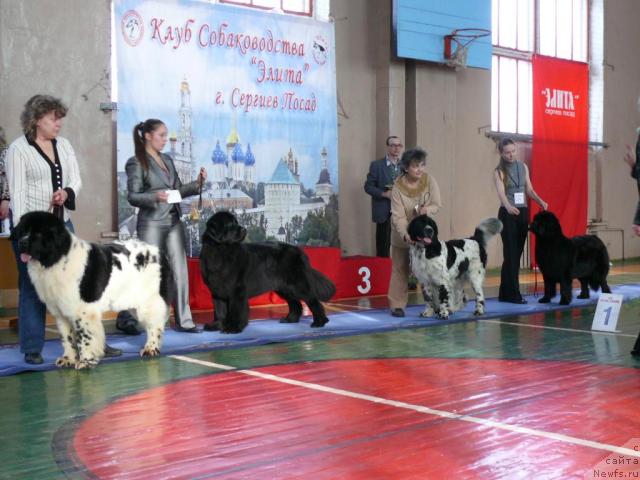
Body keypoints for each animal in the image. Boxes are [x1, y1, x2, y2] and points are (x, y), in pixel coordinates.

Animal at [11, 210, 171, 368]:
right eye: (23, 231)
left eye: (38, 234)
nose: (21, 243)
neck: (58, 258)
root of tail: (158, 250)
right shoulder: (61, 311)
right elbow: (67, 338)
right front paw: (68, 359)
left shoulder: (83, 310)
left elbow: (84, 337)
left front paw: (85, 361)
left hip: (149, 300)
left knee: (154, 324)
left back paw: (151, 348)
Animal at [201, 210, 338, 334]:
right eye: (230, 225)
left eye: (236, 223)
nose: (244, 229)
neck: (220, 251)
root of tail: (300, 251)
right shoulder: (217, 291)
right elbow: (219, 310)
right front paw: (216, 326)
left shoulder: (237, 290)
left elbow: (236, 310)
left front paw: (233, 328)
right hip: (284, 287)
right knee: (296, 303)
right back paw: (290, 319)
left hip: (298, 284)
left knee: (313, 301)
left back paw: (319, 322)